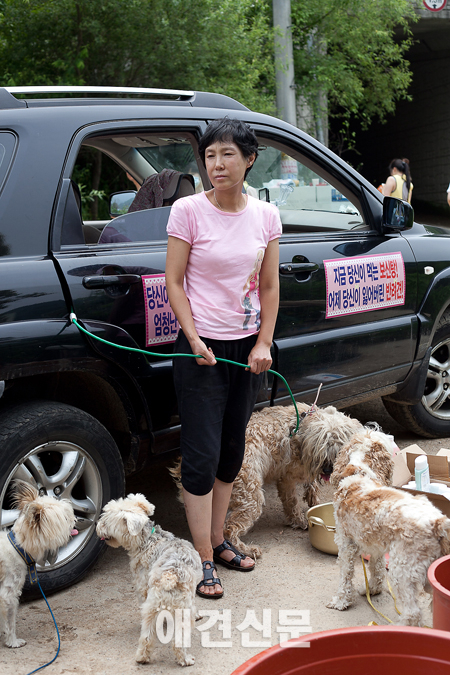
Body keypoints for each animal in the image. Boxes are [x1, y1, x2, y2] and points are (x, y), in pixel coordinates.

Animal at [0, 480, 75, 648]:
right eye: (65, 518)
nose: (76, 521)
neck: (18, 547)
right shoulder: (8, 596)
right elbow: (10, 623)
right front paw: (12, 641)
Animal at [96, 494, 202, 668]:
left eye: (105, 520)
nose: (97, 526)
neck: (147, 539)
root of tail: (170, 575)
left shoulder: (143, 590)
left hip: (152, 608)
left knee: (146, 638)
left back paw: (142, 658)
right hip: (176, 611)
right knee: (176, 642)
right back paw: (185, 659)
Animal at [171, 404, 364, 556]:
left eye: (339, 448)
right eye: (324, 447)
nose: (327, 470)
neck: (300, 429)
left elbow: (310, 486)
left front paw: (312, 500)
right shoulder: (287, 478)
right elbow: (292, 502)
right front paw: (299, 520)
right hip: (251, 497)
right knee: (229, 528)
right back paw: (246, 550)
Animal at [326, 430, 450, 624]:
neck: (360, 472)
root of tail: (438, 522)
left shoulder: (346, 543)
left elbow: (345, 575)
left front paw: (340, 601)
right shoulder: (375, 545)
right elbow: (376, 568)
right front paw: (373, 589)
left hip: (402, 570)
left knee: (413, 611)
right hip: (431, 571)